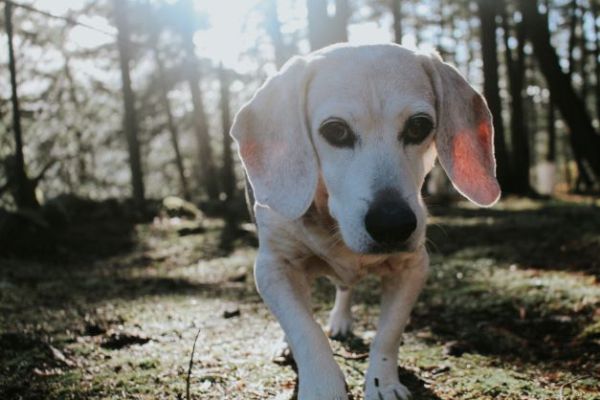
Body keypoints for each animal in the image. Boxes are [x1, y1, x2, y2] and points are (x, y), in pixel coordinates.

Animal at [231, 43, 502, 400]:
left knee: (345, 288)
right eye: (335, 131)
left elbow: (388, 334)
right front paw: (322, 387)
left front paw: (382, 383)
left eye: (418, 126)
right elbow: (306, 331)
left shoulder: (412, 268)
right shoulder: (273, 268)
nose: (393, 224)